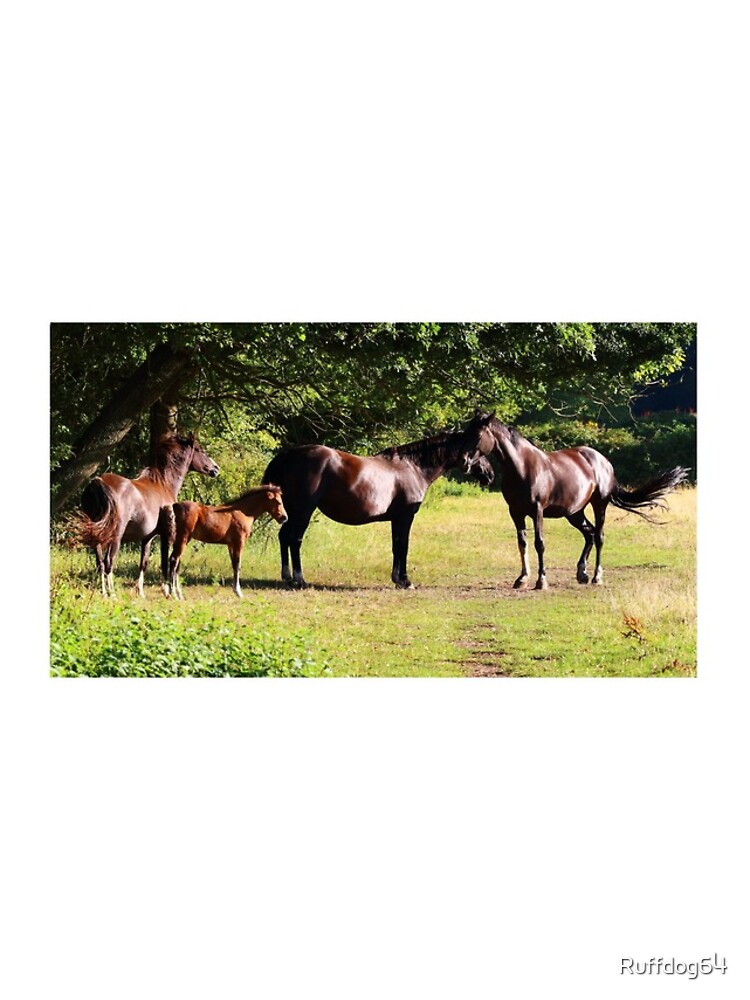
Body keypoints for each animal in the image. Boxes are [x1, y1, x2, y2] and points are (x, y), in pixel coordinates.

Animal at [79, 432, 220, 597]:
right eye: (200, 450)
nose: (216, 469)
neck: (163, 484)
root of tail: (98, 481)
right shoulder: (166, 534)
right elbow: (165, 562)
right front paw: (168, 592)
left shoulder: (147, 537)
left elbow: (143, 562)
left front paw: (140, 592)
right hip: (115, 536)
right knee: (108, 561)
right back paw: (112, 594)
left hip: (97, 534)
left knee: (100, 562)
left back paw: (104, 593)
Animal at [261, 412, 495, 589]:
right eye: (479, 449)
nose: (490, 474)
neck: (413, 467)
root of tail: (288, 455)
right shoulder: (406, 517)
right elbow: (403, 546)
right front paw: (405, 581)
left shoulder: (396, 519)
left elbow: (396, 546)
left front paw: (397, 579)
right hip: (303, 510)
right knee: (294, 539)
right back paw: (299, 580)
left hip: (291, 510)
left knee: (284, 536)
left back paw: (287, 577)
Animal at [470, 415, 689, 589]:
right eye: (465, 433)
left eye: (477, 436)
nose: (467, 462)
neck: (522, 466)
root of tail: (605, 462)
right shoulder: (515, 512)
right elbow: (522, 542)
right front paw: (522, 579)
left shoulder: (537, 511)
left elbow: (539, 543)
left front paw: (541, 581)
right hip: (574, 513)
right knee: (589, 534)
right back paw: (582, 573)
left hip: (599, 504)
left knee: (598, 536)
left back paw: (596, 577)